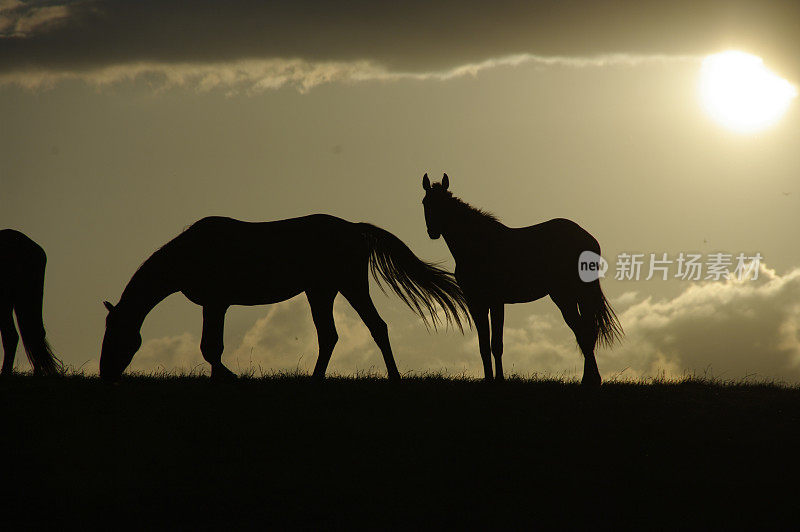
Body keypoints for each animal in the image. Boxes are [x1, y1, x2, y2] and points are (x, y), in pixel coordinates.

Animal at [100, 216, 468, 382]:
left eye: (118, 336)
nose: (105, 374)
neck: (191, 253)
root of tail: (355, 227)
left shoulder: (216, 303)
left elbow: (210, 347)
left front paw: (229, 379)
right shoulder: (213, 305)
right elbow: (210, 347)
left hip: (349, 286)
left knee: (375, 327)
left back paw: (393, 377)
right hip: (322, 291)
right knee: (331, 335)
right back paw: (317, 379)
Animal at [422, 175, 620, 386]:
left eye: (444, 203)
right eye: (425, 202)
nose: (433, 232)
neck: (478, 246)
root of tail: (588, 238)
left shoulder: (496, 301)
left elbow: (496, 344)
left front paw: (499, 379)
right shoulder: (475, 302)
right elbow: (483, 345)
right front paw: (489, 379)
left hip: (567, 294)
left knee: (584, 331)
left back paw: (590, 380)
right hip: (572, 295)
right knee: (585, 330)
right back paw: (590, 379)